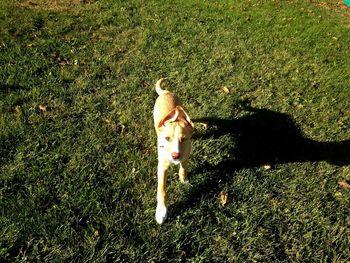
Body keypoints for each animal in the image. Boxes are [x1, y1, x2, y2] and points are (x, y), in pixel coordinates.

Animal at [153, 78, 194, 225]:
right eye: (167, 138)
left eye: (184, 139)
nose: (175, 155)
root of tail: (167, 92)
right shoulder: (162, 167)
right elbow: (161, 189)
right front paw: (161, 211)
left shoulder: (186, 155)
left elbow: (183, 167)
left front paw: (184, 179)